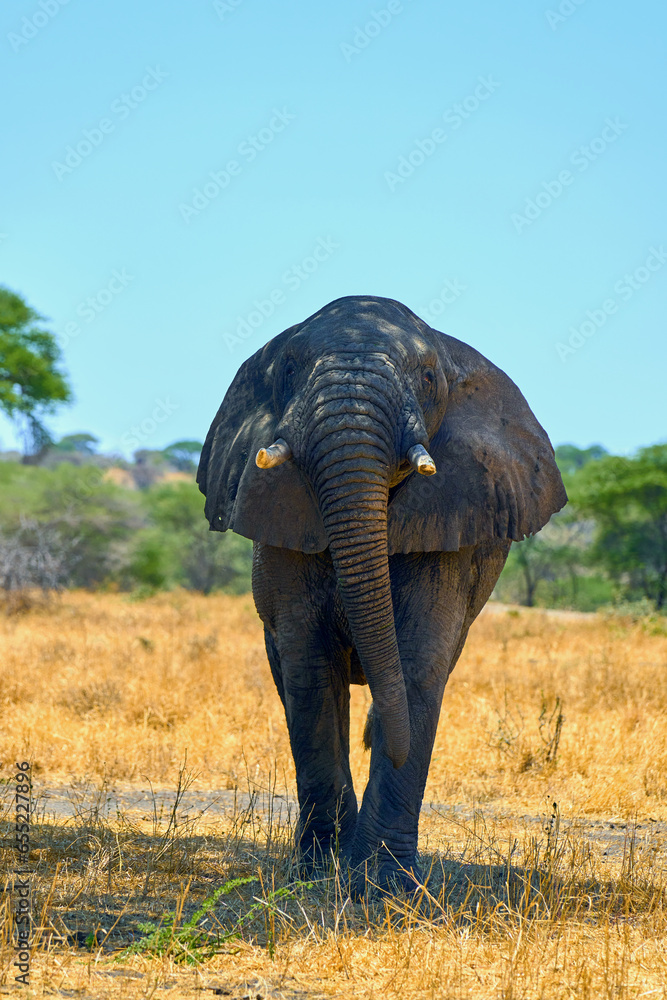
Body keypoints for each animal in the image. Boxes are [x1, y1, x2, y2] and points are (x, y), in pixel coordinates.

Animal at [197, 295, 566, 893]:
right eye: (289, 370)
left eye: (427, 377)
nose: (384, 740)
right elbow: (310, 665)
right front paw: (317, 872)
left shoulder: (455, 510)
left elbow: (419, 663)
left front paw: (385, 886)